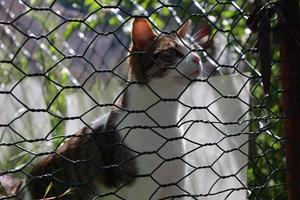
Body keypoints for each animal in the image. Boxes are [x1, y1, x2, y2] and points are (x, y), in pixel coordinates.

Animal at [23, 18, 202, 199]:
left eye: (192, 50)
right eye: (172, 52)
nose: (197, 58)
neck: (163, 119)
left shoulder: (175, 188)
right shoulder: (142, 190)